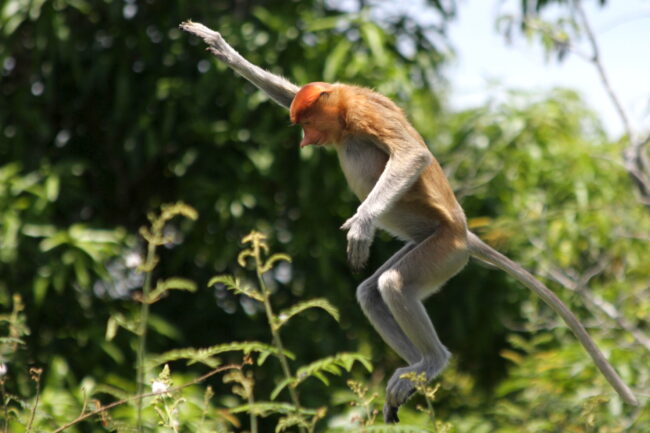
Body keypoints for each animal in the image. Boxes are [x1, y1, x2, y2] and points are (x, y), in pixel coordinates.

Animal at [179, 21, 639, 423]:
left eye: (307, 123)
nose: (304, 140)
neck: (344, 110)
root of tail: (463, 233)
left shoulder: (365, 114)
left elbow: (410, 155)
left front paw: (362, 224)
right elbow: (284, 90)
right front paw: (218, 45)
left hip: (444, 253)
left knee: (394, 283)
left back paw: (431, 363)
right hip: (427, 243)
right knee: (370, 291)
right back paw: (413, 369)